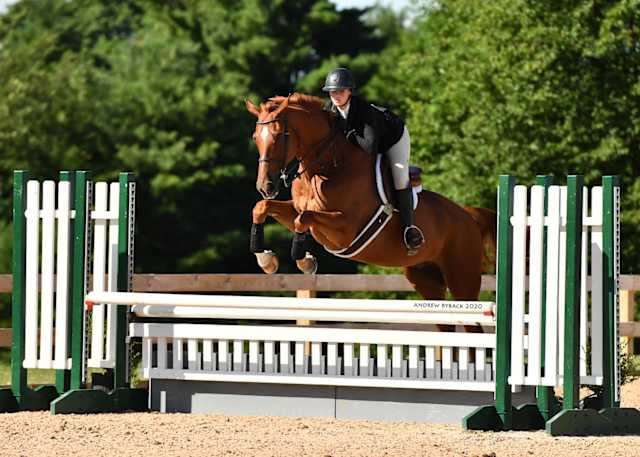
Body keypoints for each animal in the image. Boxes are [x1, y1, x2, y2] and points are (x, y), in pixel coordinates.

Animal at [246, 92, 496, 302]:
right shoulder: (297, 210)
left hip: (462, 280)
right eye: (256, 137)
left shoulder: (344, 230)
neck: (327, 169)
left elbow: (303, 219)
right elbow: (262, 208)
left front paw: (304, 262)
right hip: (427, 279)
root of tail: (468, 215)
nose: (265, 186)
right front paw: (267, 260)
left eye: (279, 136)